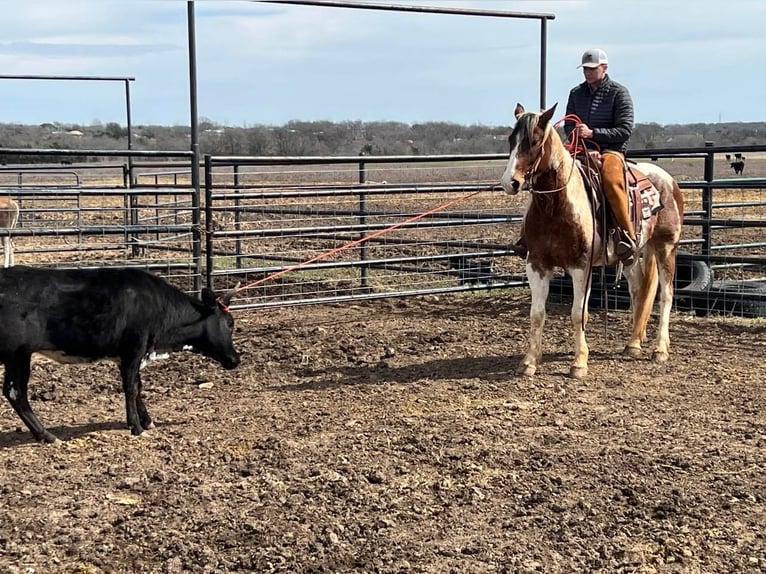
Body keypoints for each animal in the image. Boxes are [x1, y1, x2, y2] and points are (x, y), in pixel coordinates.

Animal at [0, 266, 242, 446]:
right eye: (230, 323)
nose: (235, 359)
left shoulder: (134, 354)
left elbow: (138, 385)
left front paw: (147, 420)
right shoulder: (133, 350)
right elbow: (131, 387)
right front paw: (136, 426)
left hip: (18, 356)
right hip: (17, 354)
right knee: (16, 392)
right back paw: (47, 435)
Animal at [500, 103, 688, 380]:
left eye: (533, 141)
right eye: (511, 140)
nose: (510, 182)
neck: (556, 206)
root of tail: (668, 181)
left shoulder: (581, 266)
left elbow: (578, 314)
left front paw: (579, 363)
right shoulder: (536, 264)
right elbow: (537, 314)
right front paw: (530, 362)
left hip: (666, 247)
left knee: (666, 295)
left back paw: (660, 349)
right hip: (633, 255)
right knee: (638, 290)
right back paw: (633, 343)